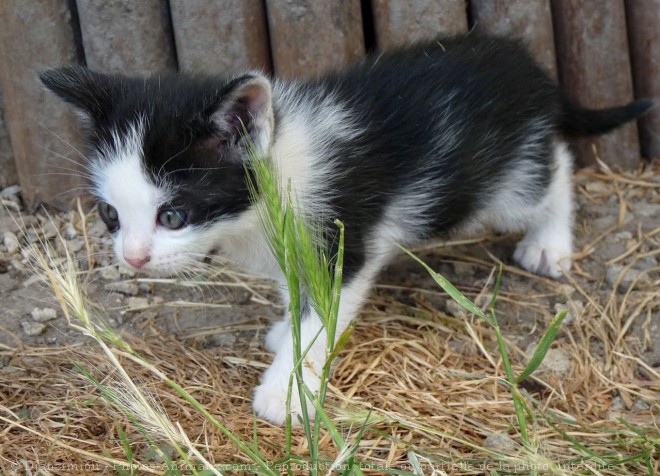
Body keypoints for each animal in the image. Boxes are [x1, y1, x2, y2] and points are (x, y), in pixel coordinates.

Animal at [42, 34, 656, 428]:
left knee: (555, 168)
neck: (279, 171)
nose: (133, 258)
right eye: (111, 216)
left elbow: (324, 313)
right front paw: (286, 332)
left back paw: (549, 244)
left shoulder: (341, 239)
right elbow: (298, 296)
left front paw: (287, 392)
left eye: (173, 215)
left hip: (502, 189)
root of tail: (530, 66)